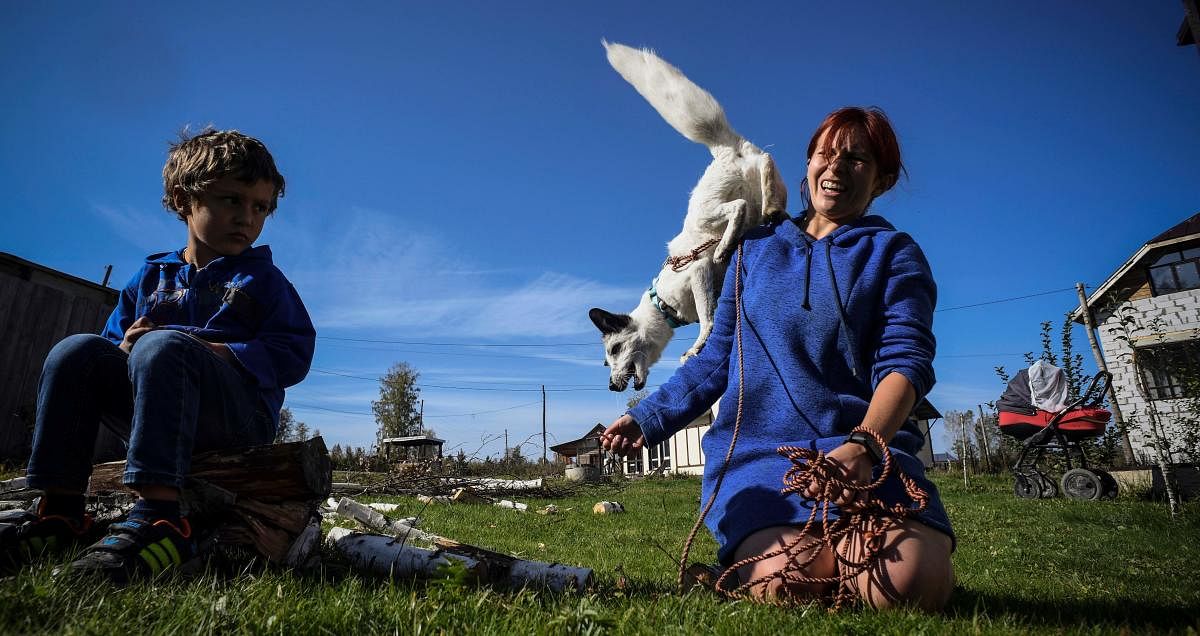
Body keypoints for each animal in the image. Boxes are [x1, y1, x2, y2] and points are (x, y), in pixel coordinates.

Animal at [590, 42, 787, 388]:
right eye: (606, 360)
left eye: (614, 350)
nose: (612, 386)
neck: (661, 304)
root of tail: (723, 148)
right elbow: (712, 313)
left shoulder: (698, 272)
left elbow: (707, 319)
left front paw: (697, 346)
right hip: (757, 174)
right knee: (766, 161)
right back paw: (773, 205)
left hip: (707, 215)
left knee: (738, 207)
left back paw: (726, 244)